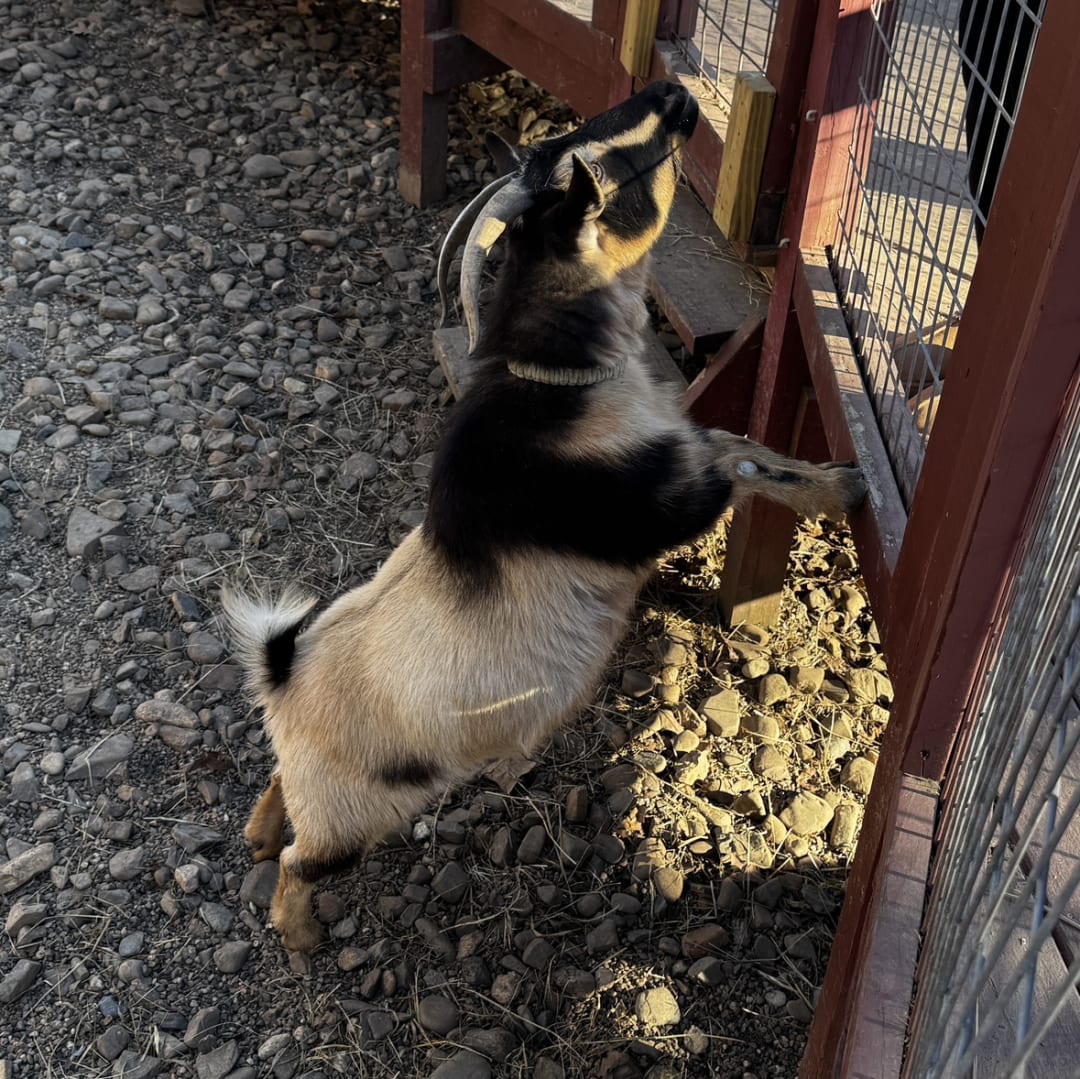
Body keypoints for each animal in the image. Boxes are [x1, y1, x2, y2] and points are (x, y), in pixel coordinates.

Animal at [222, 82, 865, 953]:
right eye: (628, 161)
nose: (674, 94)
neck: (555, 384)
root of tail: (281, 670)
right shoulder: (649, 503)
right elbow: (737, 462)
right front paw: (844, 487)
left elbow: (738, 446)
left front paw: (835, 480)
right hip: (354, 809)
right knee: (302, 860)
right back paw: (298, 934)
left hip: (314, 775)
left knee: (275, 786)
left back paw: (257, 836)